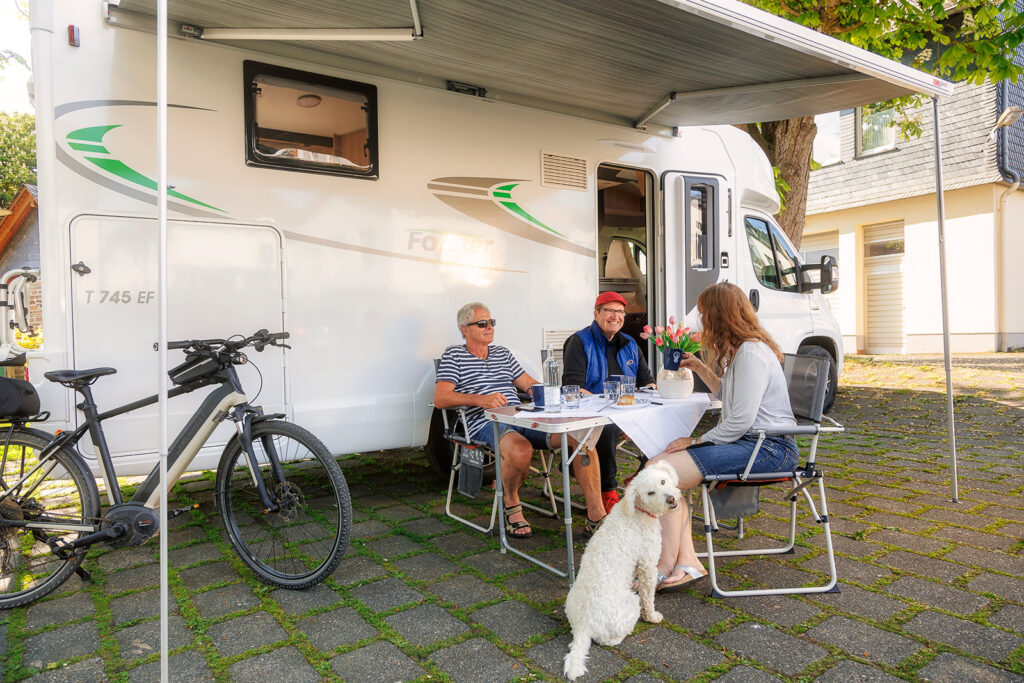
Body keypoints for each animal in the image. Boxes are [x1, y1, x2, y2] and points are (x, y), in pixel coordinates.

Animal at [561, 462, 679, 679]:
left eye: (663, 481)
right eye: (650, 493)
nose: (671, 499)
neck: (637, 512)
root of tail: (583, 625)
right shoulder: (647, 565)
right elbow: (648, 597)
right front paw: (652, 617)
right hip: (631, 603)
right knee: (608, 639)